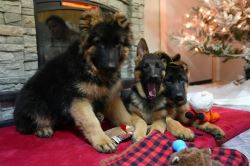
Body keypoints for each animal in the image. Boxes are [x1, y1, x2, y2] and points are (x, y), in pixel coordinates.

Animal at [13, 12, 134, 153]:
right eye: (99, 43)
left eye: (117, 44)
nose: (111, 67)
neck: (91, 68)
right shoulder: (78, 99)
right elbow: (91, 121)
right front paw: (102, 140)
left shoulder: (111, 97)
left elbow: (123, 114)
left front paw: (136, 124)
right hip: (34, 100)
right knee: (30, 123)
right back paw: (43, 128)